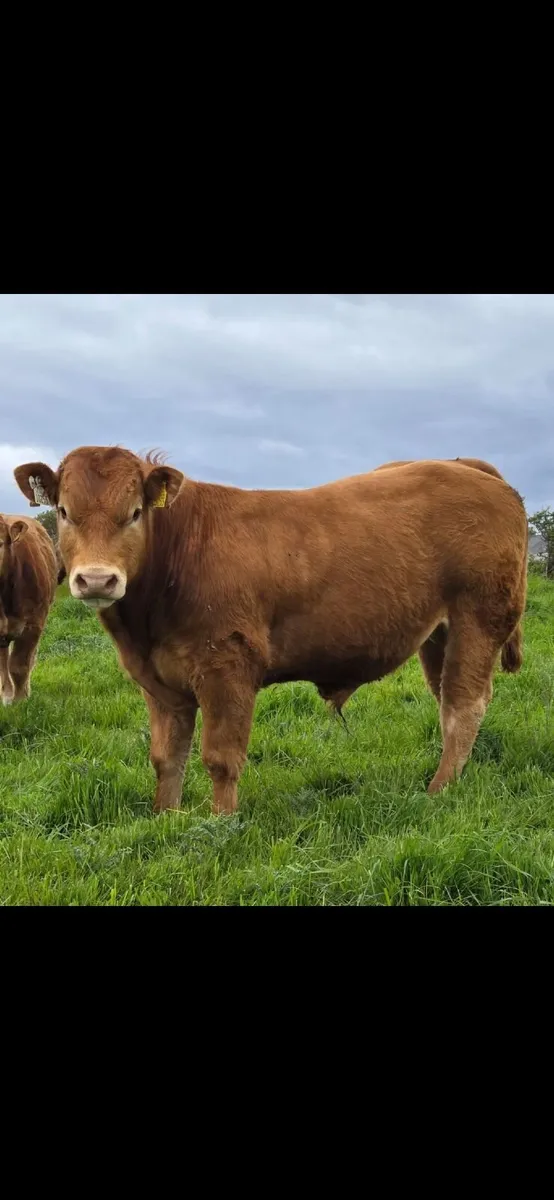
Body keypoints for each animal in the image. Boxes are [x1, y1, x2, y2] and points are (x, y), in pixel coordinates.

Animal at [14, 448, 528, 812]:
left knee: (464, 705)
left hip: (479, 618)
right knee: (447, 701)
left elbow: (221, 758)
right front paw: (166, 820)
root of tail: (466, 467)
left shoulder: (228, 667)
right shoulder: (159, 683)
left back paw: (438, 791)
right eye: (64, 511)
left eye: (136, 512)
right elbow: (167, 757)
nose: (97, 579)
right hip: (438, 634)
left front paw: (220, 824)